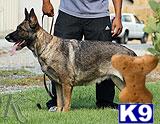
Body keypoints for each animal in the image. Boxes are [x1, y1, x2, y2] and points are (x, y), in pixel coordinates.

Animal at [5, 8, 136, 111]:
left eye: (20, 29)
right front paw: (58, 114)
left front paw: (64, 114)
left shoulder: (66, 84)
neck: (47, 47)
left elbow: (66, 104)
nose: (6, 37)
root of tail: (130, 51)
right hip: (119, 82)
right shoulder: (58, 84)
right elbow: (59, 103)